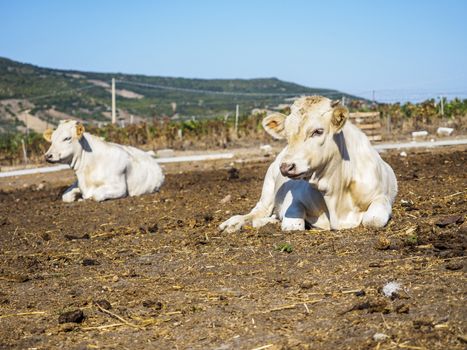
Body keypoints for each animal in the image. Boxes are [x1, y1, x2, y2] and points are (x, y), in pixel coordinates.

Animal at [220, 95, 398, 232]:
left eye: (318, 131)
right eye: (286, 134)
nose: (286, 167)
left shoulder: (381, 197)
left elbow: (372, 220)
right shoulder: (293, 200)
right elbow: (292, 224)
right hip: (268, 189)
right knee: (257, 212)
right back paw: (233, 223)